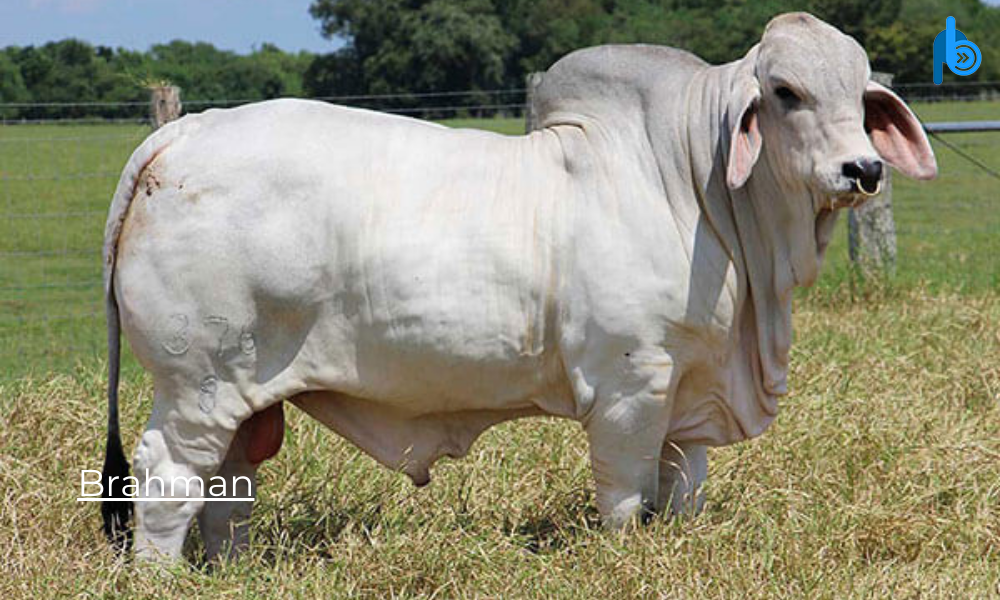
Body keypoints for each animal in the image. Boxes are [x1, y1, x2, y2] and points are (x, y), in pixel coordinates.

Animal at [97, 11, 932, 560]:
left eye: (861, 95)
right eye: (786, 91)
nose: (863, 169)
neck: (695, 184)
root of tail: (185, 131)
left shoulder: (692, 387)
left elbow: (681, 487)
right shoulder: (631, 380)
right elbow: (626, 493)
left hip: (242, 391)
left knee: (229, 485)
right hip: (196, 382)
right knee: (168, 477)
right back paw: (163, 575)